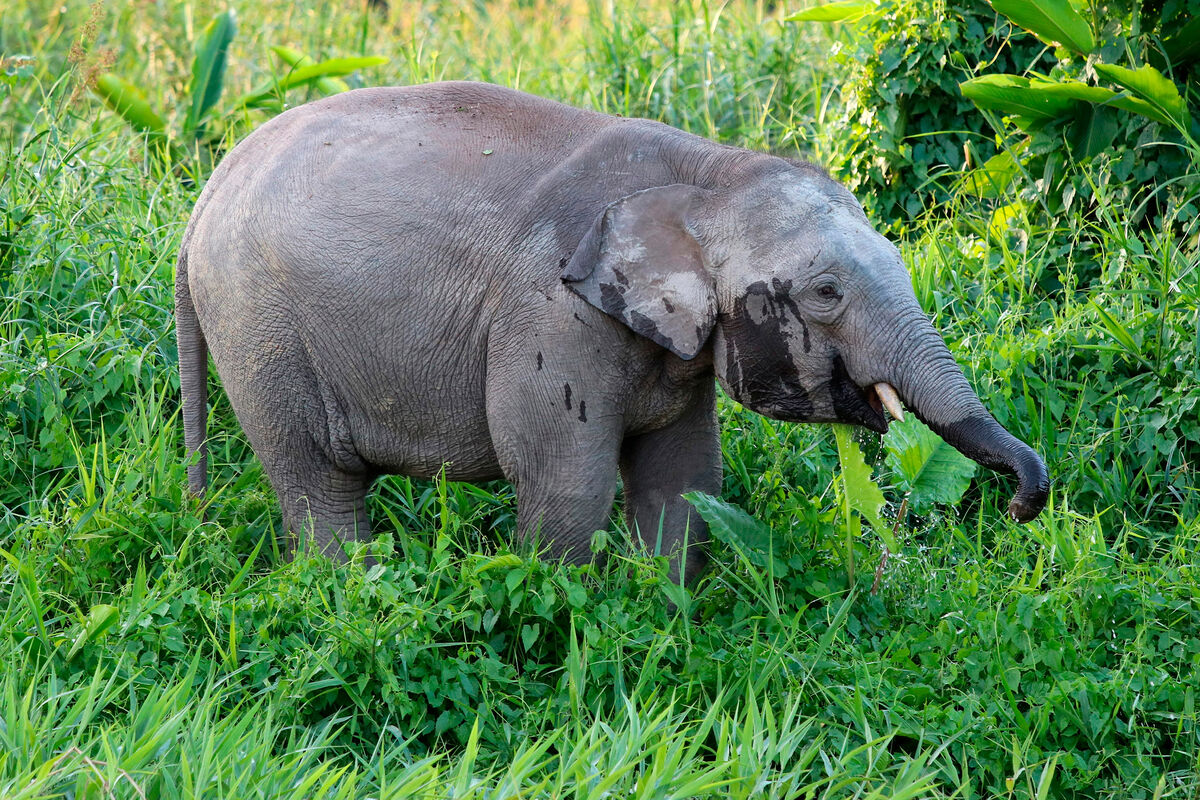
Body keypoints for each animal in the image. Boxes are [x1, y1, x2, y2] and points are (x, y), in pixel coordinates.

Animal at [174, 79, 1046, 582]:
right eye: (827, 293)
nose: (1020, 504)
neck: (706, 171)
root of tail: (206, 192)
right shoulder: (552, 315)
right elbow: (568, 483)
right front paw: (565, 610)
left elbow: (683, 478)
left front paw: (663, 617)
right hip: (261, 328)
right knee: (318, 481)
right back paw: (358, 597)